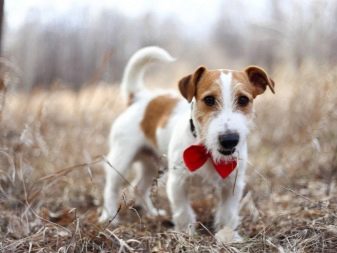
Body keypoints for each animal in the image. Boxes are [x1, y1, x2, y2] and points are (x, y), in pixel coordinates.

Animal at [99, 46, 272, 239]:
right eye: (209, 100)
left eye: (243, 100)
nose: (229, 140)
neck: (205, 150)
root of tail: (141, 97)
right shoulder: (178, 182)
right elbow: (183, 212)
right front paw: (186, 233)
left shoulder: (232, 184)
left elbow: (228, 213)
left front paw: (227, 236)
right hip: (121, 159)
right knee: (111, 188)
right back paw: (109, 217)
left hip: (152, 164)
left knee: (140, 188)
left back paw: (152, 214)